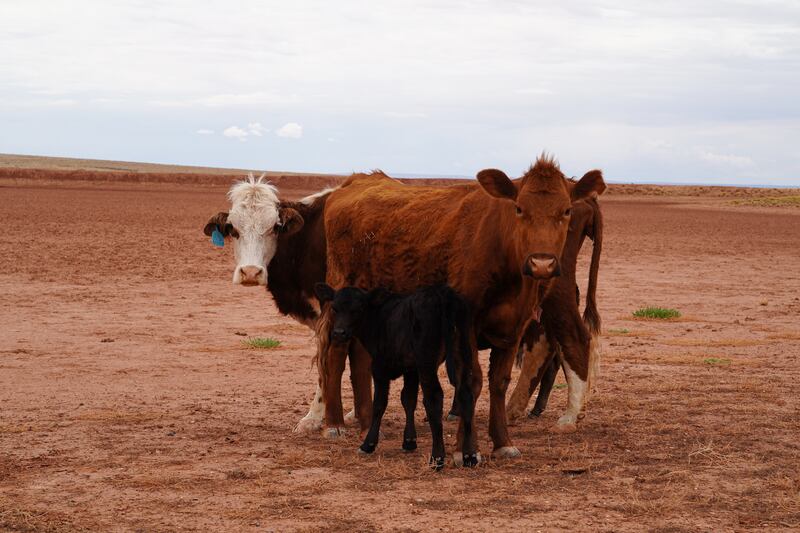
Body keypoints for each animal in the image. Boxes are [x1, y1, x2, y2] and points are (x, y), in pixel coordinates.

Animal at [310, 282, 476, 470]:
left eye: (358, 309)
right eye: (335, 308)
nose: (339, 332)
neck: (380, 317)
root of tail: (443, 293)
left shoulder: (379, 367)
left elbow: (379, 404)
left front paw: (368, 444)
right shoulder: (411, 369)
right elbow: (408, 399)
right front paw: (409, 441)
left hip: (427, 362)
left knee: (434, 398)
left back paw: (437, 458)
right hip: (462, 353)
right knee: (466, 395)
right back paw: (469, 455)